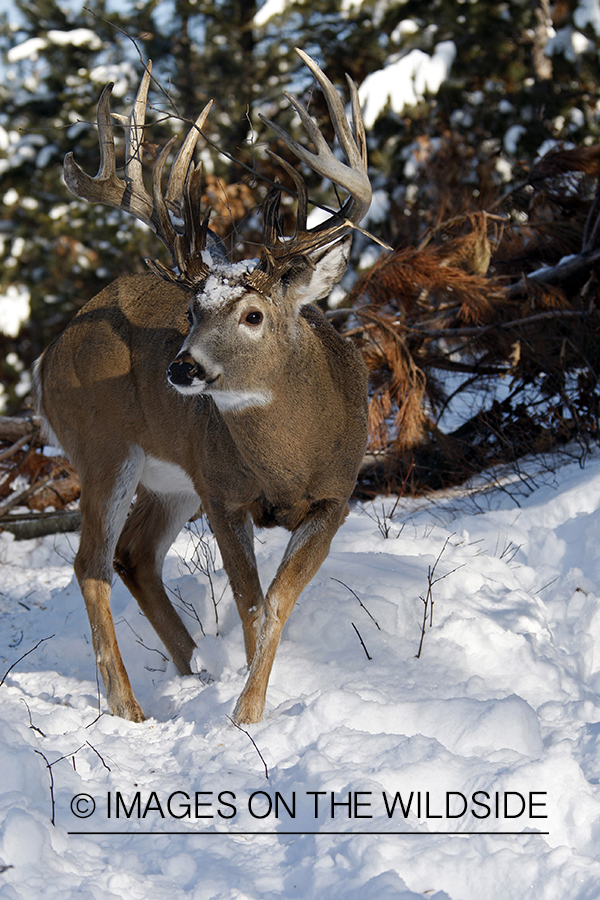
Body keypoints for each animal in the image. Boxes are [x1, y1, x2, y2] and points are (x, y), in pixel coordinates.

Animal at [36, 51, 370, 724]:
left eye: (253, 315)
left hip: (170, 480)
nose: (182, 368)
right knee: (91, 563)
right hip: (105, 448)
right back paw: (129, 707)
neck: (290, 461)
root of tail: (47, 358)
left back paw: (194, 670)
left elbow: (276, 601)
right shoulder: (222, 492)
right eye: (191, 310)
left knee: (133, 555)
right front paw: (246, 714)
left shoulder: (337, 493)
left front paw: (245, 704)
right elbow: (252, 603)